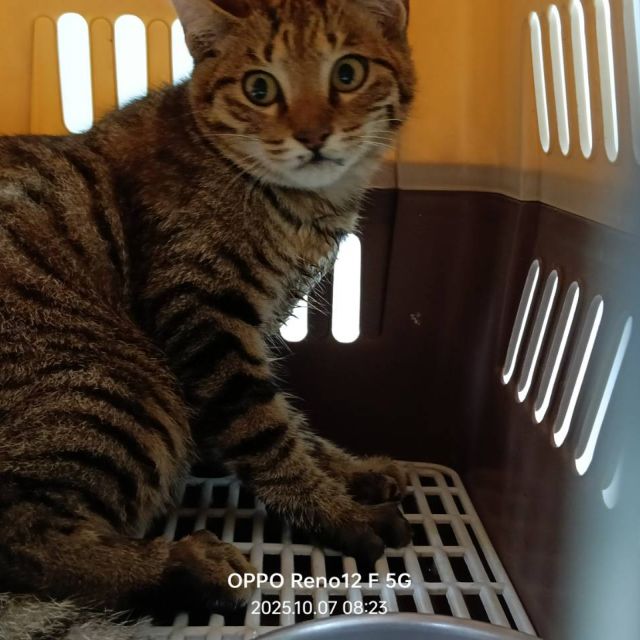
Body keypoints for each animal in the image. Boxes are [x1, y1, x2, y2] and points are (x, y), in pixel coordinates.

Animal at [0, 0, 416, 637]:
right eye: (259, 88)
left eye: (347, 74)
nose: (312, 135)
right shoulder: (207, 322)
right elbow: (265, 435)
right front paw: (338, 511)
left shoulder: (255, 333)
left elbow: (291, 426)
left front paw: (351, 470)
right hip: (121, 385)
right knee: (23, 540)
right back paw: (186, 567)